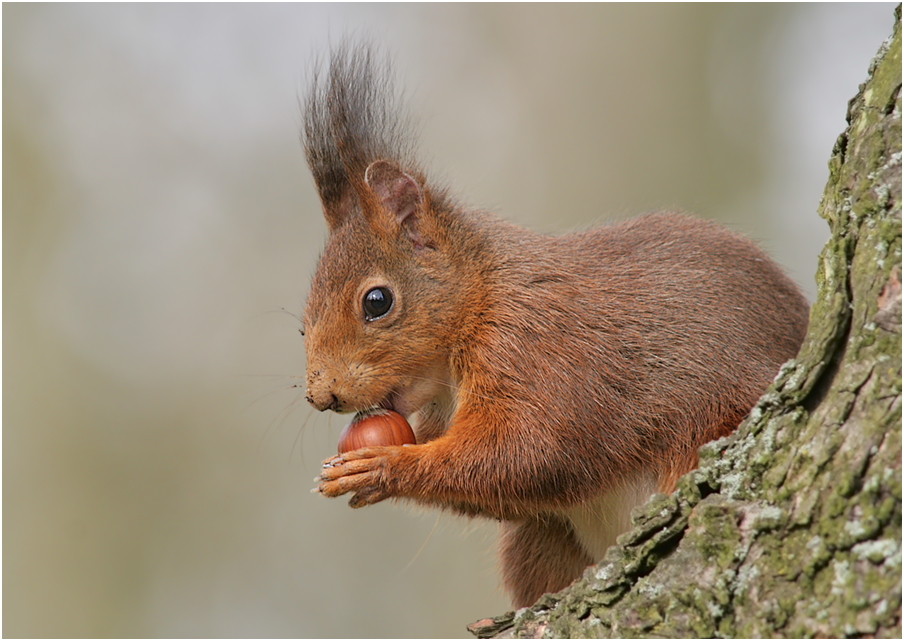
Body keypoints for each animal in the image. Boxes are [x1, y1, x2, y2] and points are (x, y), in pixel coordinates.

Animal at [304, 45, 812, 604]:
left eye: (377, 302)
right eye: (302, 325)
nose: (321, 395)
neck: (481, 297)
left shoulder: (538, 348)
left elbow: (530, 451)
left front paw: (381, 466)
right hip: (538, 542)